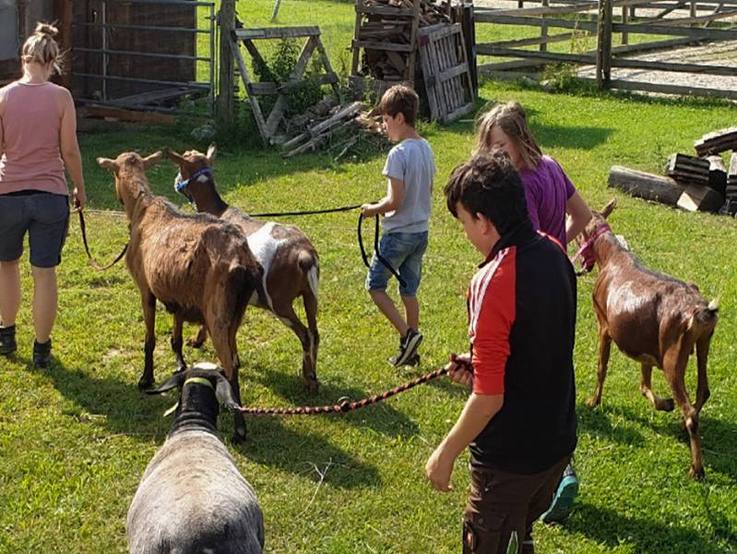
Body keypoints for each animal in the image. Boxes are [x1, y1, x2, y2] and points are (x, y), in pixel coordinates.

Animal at [97, 151, 263, 441]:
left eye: (113, 172)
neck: (142, 208)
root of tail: (244, 260)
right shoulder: (177, 297)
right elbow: (175, 336)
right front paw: (180, 366)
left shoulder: (146, 289)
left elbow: (150, 339)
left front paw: (146, 379)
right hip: (236, 312)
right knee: (235, 358)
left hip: (217, 312)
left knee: (231, 364)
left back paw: (240, 429)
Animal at [166, 145, 321, 392]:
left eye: (181, 166)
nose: (175, 181)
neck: (218, 211)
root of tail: (304, 254)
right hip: (310, 295)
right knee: (315, 333)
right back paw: (313, 377)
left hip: (278, 302)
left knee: (305, 334)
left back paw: (307, 380)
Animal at [576, 199, 718, 479]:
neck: (612, 256)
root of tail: (699, 310)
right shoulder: (646, 347)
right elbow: (644, 383)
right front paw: (663, 404)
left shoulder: (604, 327)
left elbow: (601, 368)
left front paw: (593, 401)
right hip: (702, 343)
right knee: (702, 391)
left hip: (674, 359)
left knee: (690, 412)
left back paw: (697, 468)